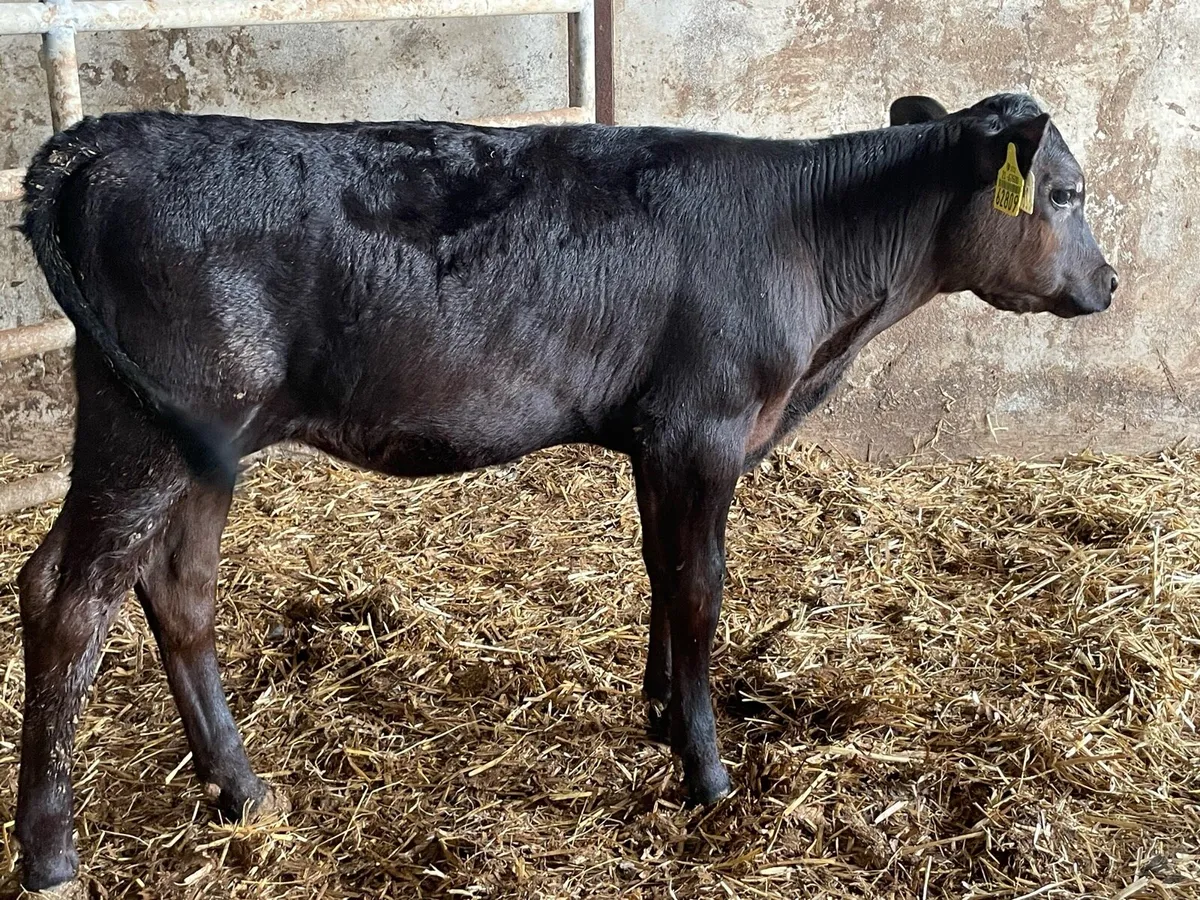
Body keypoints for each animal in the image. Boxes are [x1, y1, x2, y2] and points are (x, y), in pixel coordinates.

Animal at [13, 91, 1114, 893]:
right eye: (1064, 193)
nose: (1108, 285)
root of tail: (109, 138)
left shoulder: (658, 441)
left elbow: (662, 572)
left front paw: (662, 712)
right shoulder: (702, 429)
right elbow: (702, 589)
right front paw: (708, 773)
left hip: (203, 440)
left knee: (178, 592)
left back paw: (241, 790)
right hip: (148, 429)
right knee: (66, 597)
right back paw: (51, 853)